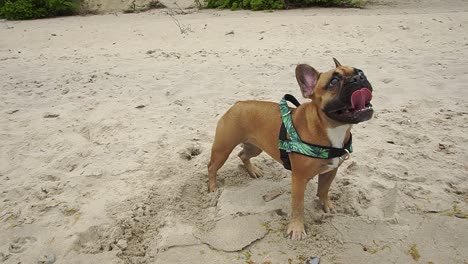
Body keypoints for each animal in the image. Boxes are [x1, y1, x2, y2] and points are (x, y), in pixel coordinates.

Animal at [207, 58, 372, 240]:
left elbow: (324, 190)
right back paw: (213, 187)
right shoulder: (299, 179)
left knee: (243, 155)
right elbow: (298, 206)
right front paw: (297, 229)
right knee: (212, 166)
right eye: (333, 81)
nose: (358, 78)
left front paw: (327, 205)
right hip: (223, 149)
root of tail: (237, 104)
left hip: (255, 147)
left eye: (360, 71)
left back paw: (253, 171)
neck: (330, 128)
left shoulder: (331, 170)